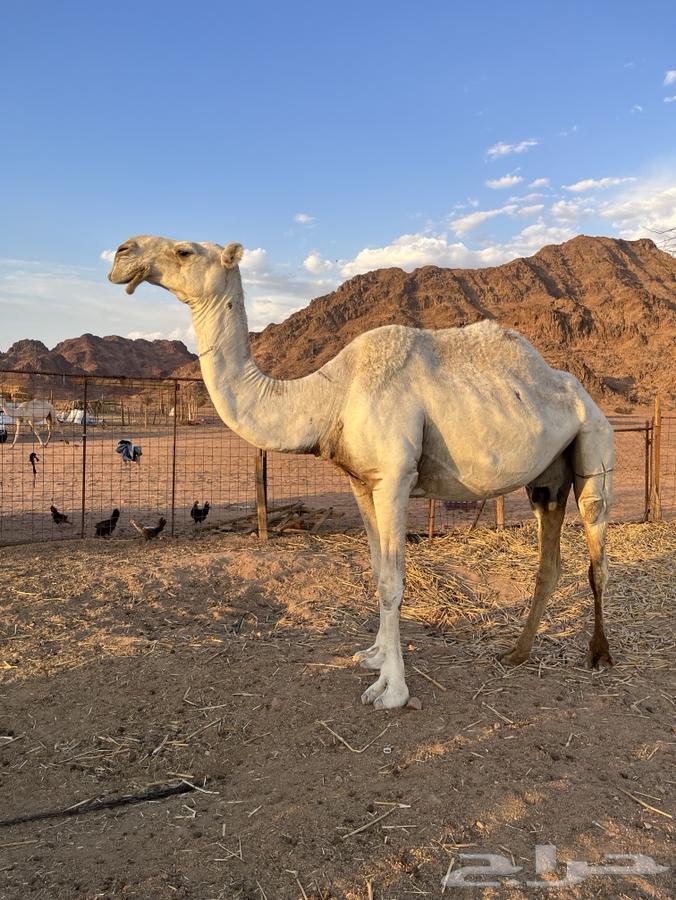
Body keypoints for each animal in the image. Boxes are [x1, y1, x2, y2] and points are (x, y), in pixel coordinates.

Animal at [109, 235, 615, 710]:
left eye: (184, 250)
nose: (121, 253)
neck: (329, 396)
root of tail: (579, 393)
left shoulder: (394, 478)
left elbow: (393, 580)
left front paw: (391, 691)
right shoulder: (360, 480)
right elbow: (375, 570)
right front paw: (373, 656)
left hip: (594, 445)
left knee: (597, 557)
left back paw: (600, 655)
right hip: (547, 477)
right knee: (550, 561)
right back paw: (516, 653)